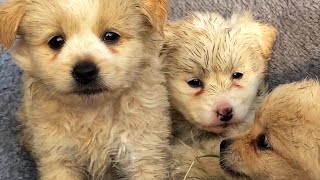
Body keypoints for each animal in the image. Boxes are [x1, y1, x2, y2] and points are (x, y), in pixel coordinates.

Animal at [0, 0, 171, 179]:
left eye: (111, 36)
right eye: (56, 41)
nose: (84, 72)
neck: (93, 112)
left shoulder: (141, 152)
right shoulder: (59, 157)